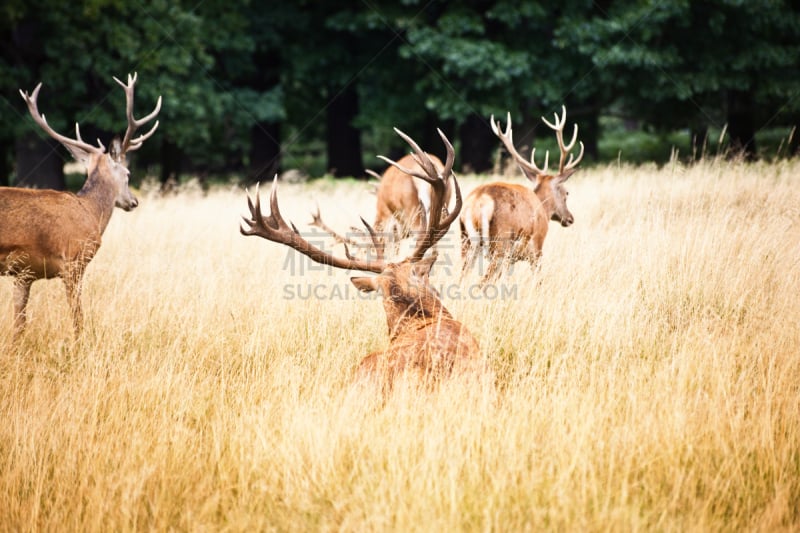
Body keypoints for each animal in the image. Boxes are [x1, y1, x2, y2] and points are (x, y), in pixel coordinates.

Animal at [0, 72, 162, 334]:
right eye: (127, 174)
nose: (134, 201)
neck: (91, 212)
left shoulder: (24, 273)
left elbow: (19, 324)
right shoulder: (74, 260)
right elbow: (78, 319)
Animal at [460, 105, 584, 284]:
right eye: (566, 192)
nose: (570, 218)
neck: (543, 208)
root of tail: (478, 201)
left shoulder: (513, 258)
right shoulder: (536, 249)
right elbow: (538, 280)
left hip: (467, 241)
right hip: (500, 243)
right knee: (483, 281)